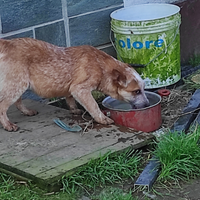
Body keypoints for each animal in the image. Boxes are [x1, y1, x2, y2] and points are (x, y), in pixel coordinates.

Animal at [0, 38, 149, 131]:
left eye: (144, 89)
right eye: (136, 91)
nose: (148, 104)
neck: (101, 66)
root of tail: (6, 43)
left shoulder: (71, 86)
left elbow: (69, 97)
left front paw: (73, 109)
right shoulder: (80, 89)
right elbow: (93, 105)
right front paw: (102, 119)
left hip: (18, 84)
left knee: (18, 101)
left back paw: (27, 112)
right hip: (17, 84)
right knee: (2, 106)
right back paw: (8, 125)